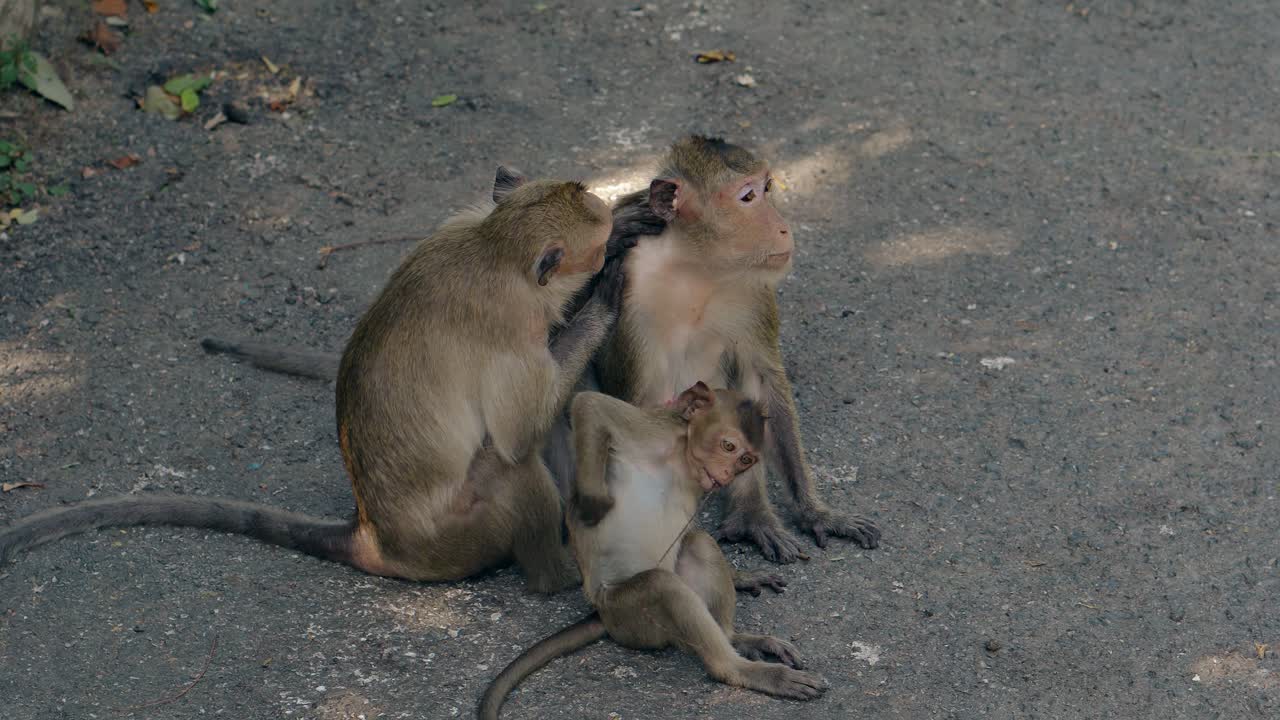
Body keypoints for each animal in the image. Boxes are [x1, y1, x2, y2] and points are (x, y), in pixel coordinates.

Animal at [0, 167, 621, 593]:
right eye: (595, 242)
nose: (610, 225)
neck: (494, 249)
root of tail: (375, 537)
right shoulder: (509, 327)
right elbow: (516, 433)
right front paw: (600, 303)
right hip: (462, 532)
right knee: (512, 465)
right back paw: (558, 578)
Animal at [478, 382, 826, 719]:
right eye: (728, 446)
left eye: (746, 460)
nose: (728, 474)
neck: (680, 457)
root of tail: (601, 614)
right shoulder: (651, 428)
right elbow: (589, 405)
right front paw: (591, 503)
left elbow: (690, 529)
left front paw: (741, 577)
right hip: (628, 615)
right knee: (662, 585)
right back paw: (739, 668)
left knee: (698, 544)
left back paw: (734, 638)